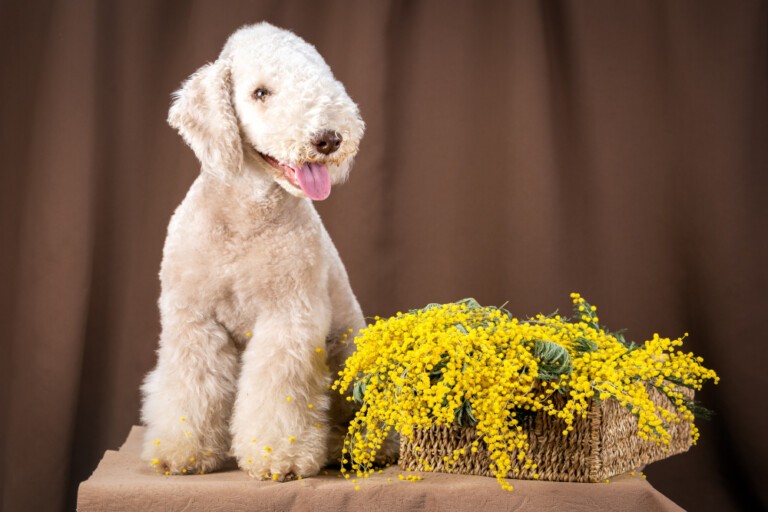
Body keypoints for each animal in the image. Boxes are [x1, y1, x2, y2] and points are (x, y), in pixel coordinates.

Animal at [144, 23, 376, 480]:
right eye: (260, 92)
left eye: (320, 80)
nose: (328, 139)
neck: (246, 219)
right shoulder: (193, 319)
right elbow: (189, 385)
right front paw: (181, 451)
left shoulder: (288, 317)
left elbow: (277, 391)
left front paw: (279, 455)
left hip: (348, 353)